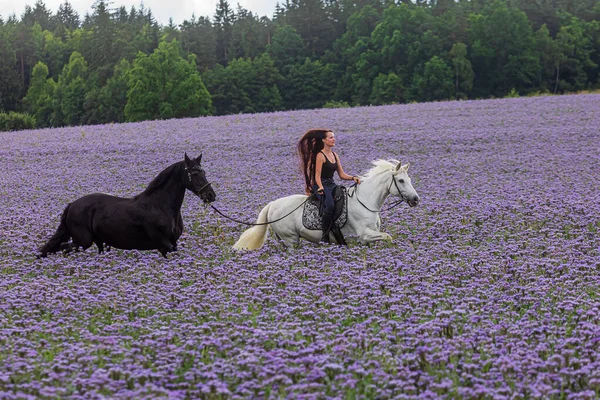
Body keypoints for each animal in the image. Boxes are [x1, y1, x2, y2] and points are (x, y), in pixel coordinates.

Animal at [38, 153, 216, 260]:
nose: (211, 195)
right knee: (65, 247)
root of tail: (71, 205)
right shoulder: (163, 243)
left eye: (204, 172)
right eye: (194, 173)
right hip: (83, 241)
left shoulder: (173, 243)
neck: (161, 206)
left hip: (97, 241)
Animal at [232, 160, 420, 250]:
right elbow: (388, 237)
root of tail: (272, 205)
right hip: (291, 239)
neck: (366, 202)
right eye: (401, 180)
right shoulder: (364, 234)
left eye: (409, 179)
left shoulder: (365, 239)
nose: (416, 199)